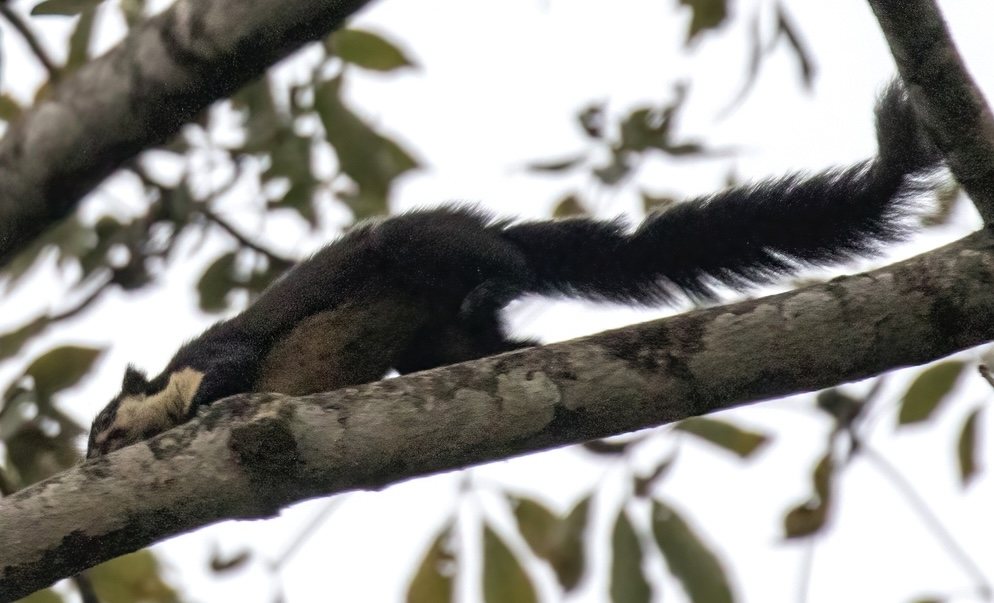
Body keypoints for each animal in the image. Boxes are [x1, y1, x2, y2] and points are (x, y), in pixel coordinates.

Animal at [87, 83, 941, 458]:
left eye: (99, 424)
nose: (93, 455)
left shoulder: (207, 356)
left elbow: (228, 367)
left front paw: (207, 409)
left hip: (416, 247)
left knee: (506, 259)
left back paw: (499, 274)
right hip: (433, 339)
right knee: (482, 344)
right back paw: (522, 350)